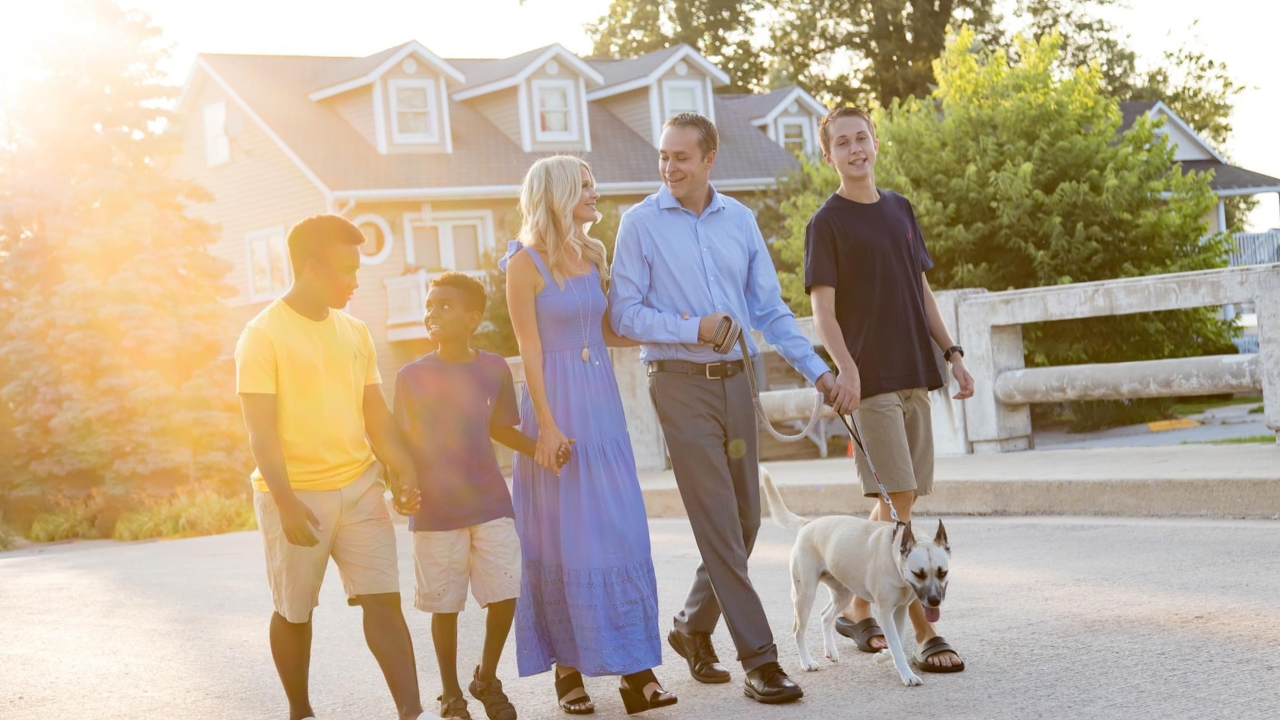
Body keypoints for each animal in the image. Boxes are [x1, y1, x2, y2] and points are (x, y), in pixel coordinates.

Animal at [757, 466, 952, 681]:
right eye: (919, 573)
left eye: (943, 573)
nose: (934, 601)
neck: (894, 556)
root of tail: (808, 524)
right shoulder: (885, 612)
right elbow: (896, 643)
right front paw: (906, 675)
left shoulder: (900, 611)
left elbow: (898, 641)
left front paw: (882, 656)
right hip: (804, 596)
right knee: (798, 630)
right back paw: (807, 662)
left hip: (843, 594)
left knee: (825, 616)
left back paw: (830, 651)